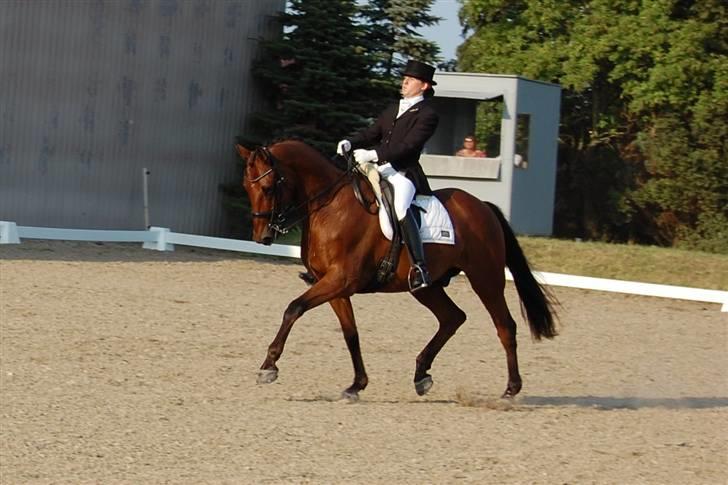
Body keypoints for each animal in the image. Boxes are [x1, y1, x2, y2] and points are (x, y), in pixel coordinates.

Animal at [236, 138, 556, 398]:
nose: (262, 237)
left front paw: (269, 366)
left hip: (485, 278)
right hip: (426, 286)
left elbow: (293, 308)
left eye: (267, 187)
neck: (330, 207)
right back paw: (421, 375)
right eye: (246, 188)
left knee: (505, 326)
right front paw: (357, 384)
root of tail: (482, 206)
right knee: (452, 318)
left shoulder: (340, 280)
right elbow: (351, 333)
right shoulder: (333, 285)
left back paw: (511, 389)